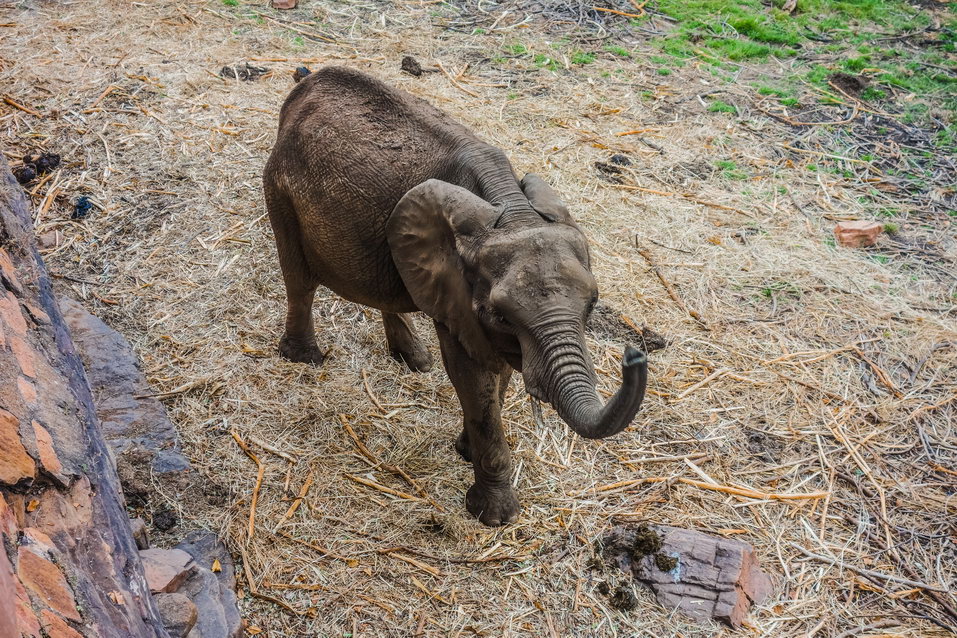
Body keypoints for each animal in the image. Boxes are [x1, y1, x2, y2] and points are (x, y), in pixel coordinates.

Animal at [266, 65, 648, 528]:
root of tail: (308, 81)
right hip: (279, 188)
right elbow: (473, 373)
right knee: (299, 279)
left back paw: (413, 360)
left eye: (591, 306)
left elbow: (498, 370)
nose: (634, 356)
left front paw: (465, 451)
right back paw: (305, 358)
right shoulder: (458, 294)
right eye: (501, 315)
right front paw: (494, 516)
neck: (511, 207)